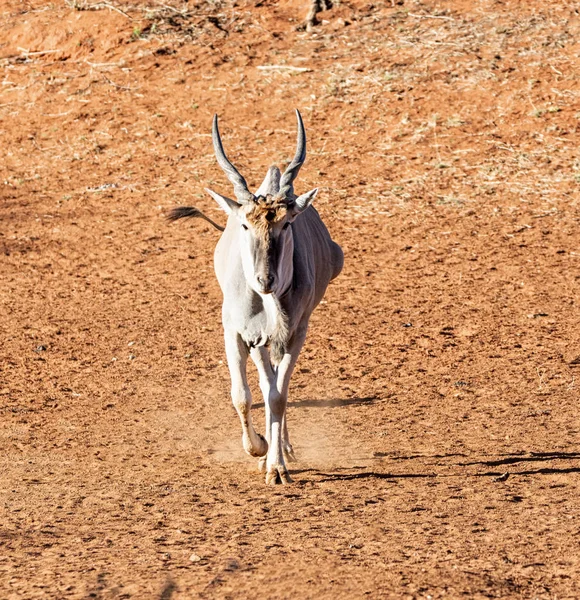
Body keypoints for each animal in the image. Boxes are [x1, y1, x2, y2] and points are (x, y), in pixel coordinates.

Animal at [168, 109, 342, 482]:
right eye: (245, 225)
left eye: (287, 224)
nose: (265, 279)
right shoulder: (237, 333)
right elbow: (242, 396)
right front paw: (258, 447)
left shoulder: (292, 334)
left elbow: (277, 396)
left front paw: (276, 466)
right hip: (257, 342)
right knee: (264, 384)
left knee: (275, 387)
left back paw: (283, 450)